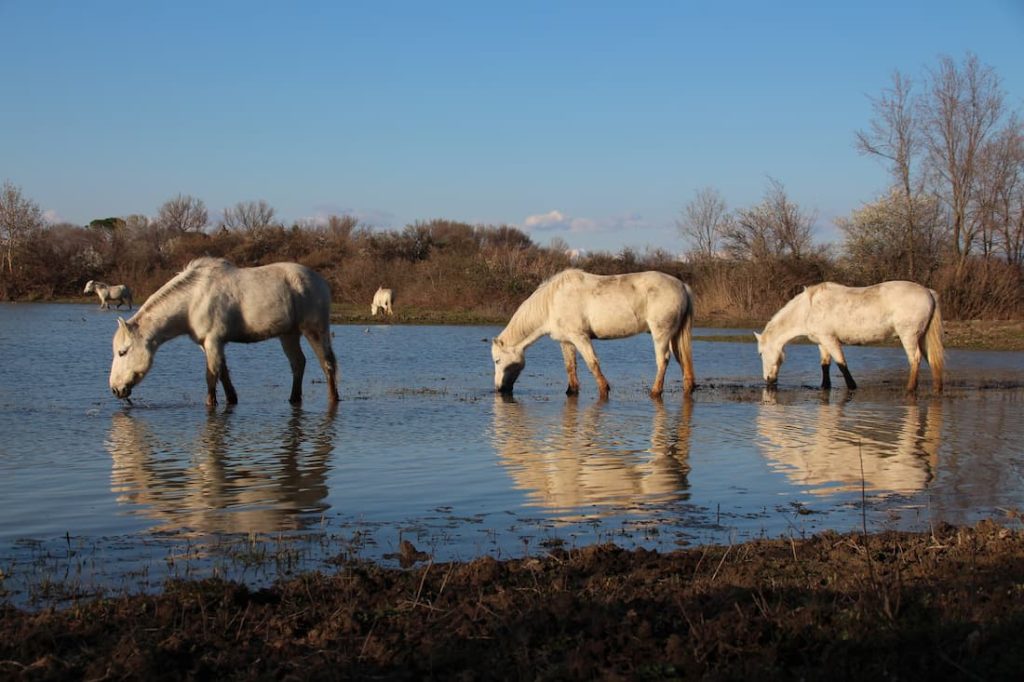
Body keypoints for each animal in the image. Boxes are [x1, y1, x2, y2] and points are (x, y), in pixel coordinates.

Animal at [109, 254, 339, 403]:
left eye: (123, 352)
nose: (115, 389)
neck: (193, 300)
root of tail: (320, 281)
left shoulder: (213, 341)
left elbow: (211, 376)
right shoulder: (208, 344)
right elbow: (223, 375)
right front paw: (232, 399)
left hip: (314, 330)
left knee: (327, 363)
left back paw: (333, 398)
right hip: (288, 334)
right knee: (298, 363)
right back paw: (293, 398)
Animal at [489, 268, 696, 399]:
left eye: (497, 361)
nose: (499, 389)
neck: (552, 302)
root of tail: (682, 286)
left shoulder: (580, 337)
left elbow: (592, 363)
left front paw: (604, 389)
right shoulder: (567, 341)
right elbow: (570, 367)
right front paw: (571, 391)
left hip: (661, 333)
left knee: (663, 360)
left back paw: (655, 392)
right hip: (675, 336)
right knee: (683, 362)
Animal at [753, 278, 942, 393]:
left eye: (761, 354)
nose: (768, 380)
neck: (808, 309)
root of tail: (928, 292)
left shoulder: (830, 340)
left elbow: (841, 364)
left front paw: (852, 387)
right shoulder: (822, 342)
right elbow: (825, 365)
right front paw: (825, 387)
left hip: (908, 336)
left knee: (915, 359)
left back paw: (909, 389)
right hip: (922, 338)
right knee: (932, 361)